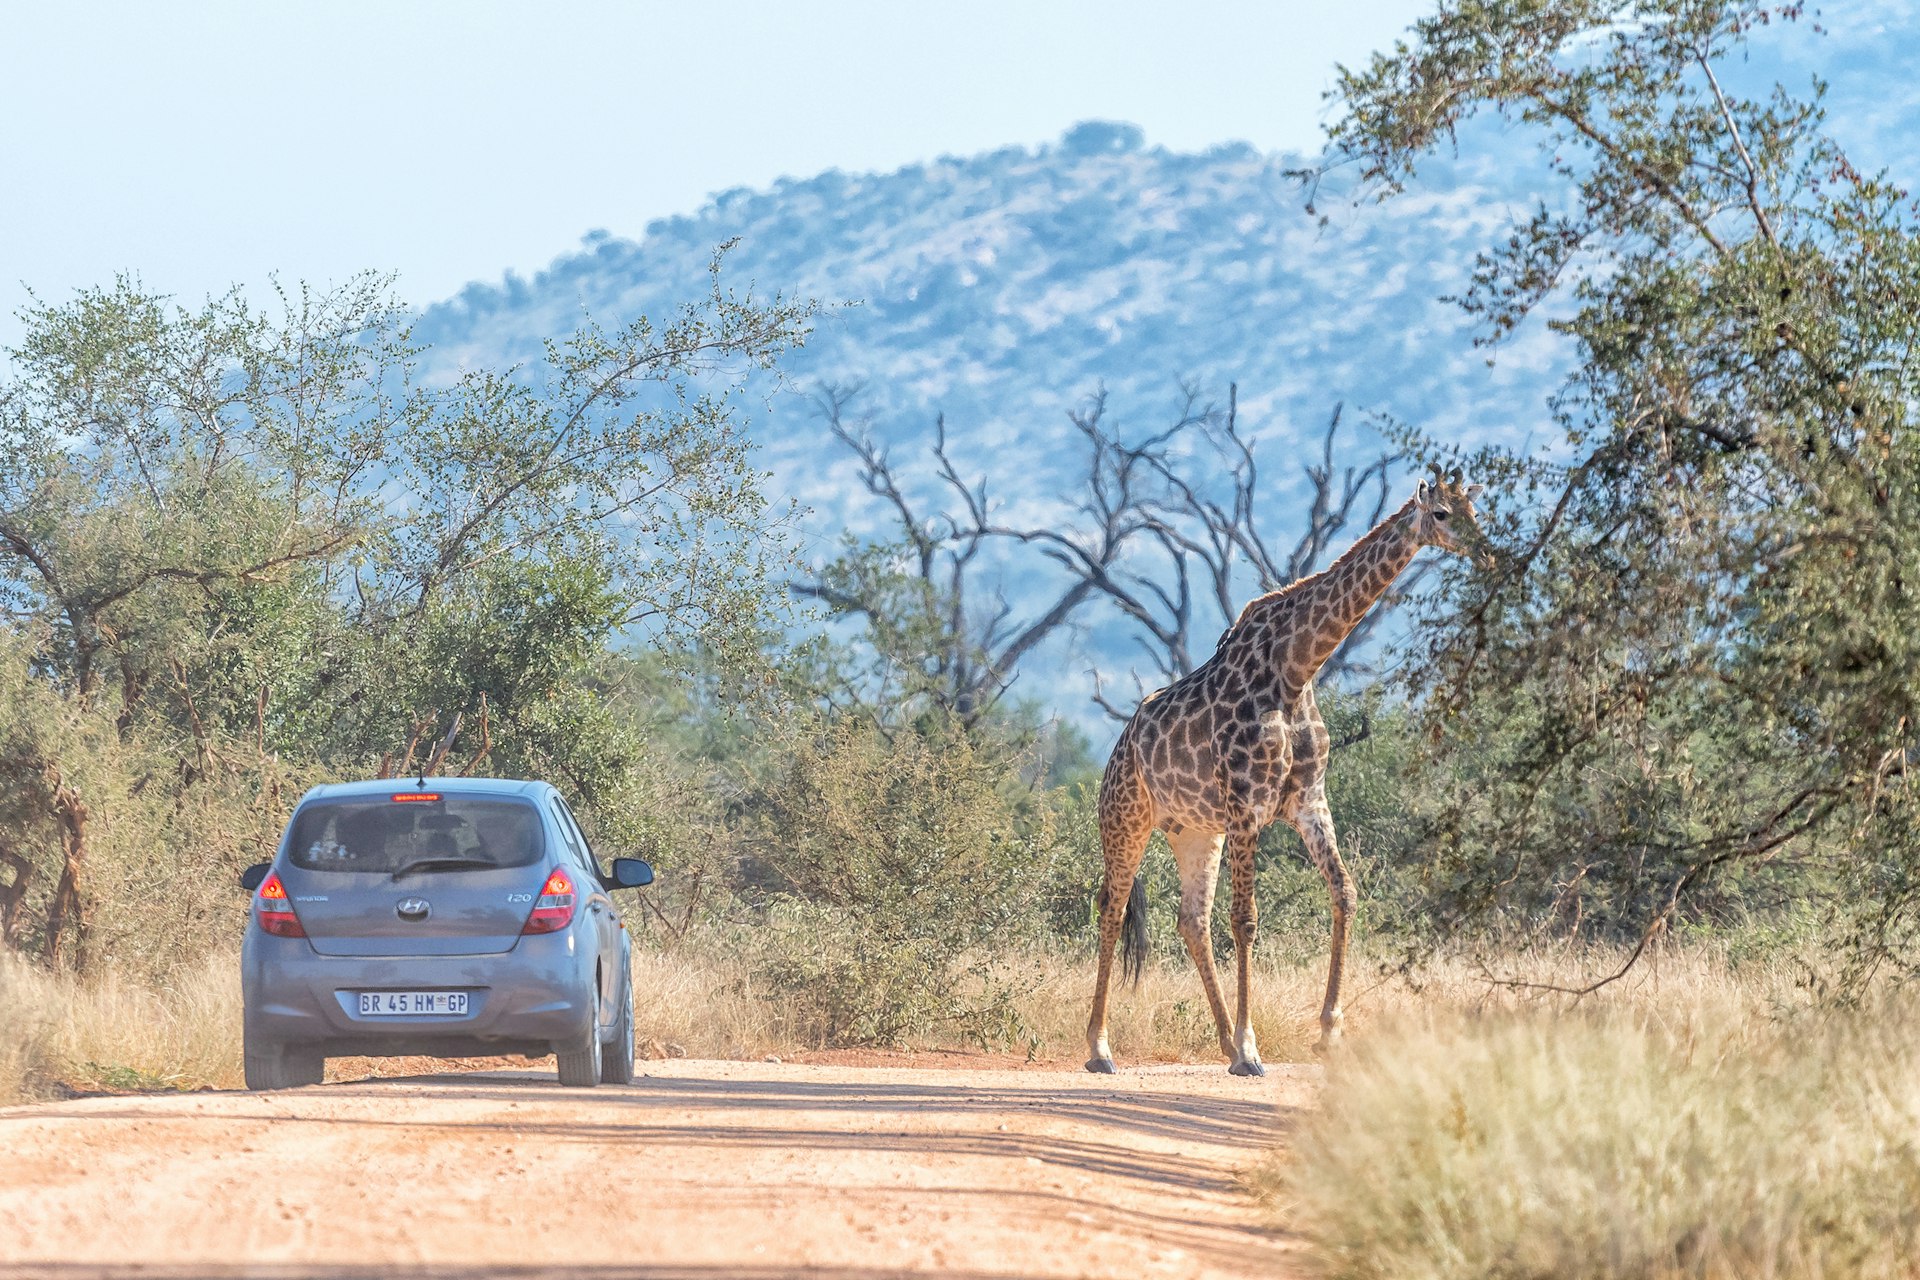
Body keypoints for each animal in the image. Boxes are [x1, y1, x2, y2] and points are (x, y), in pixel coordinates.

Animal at [1090, 470, 1474, 1074]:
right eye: (1440, 513)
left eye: (1475, 510)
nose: (1483, 548)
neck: (1296, 668)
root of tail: (1119, 746)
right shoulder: (1248, 806)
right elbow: (1246, 919)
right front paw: (1251, 1048)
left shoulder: (1308, 801)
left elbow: (1345, 893)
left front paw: (1328, 1032)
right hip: (1126, 819)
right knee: (1113, 908)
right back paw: (1101, 1048)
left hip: (1195, 831)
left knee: (1191, 920)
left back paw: (1221, 1040)